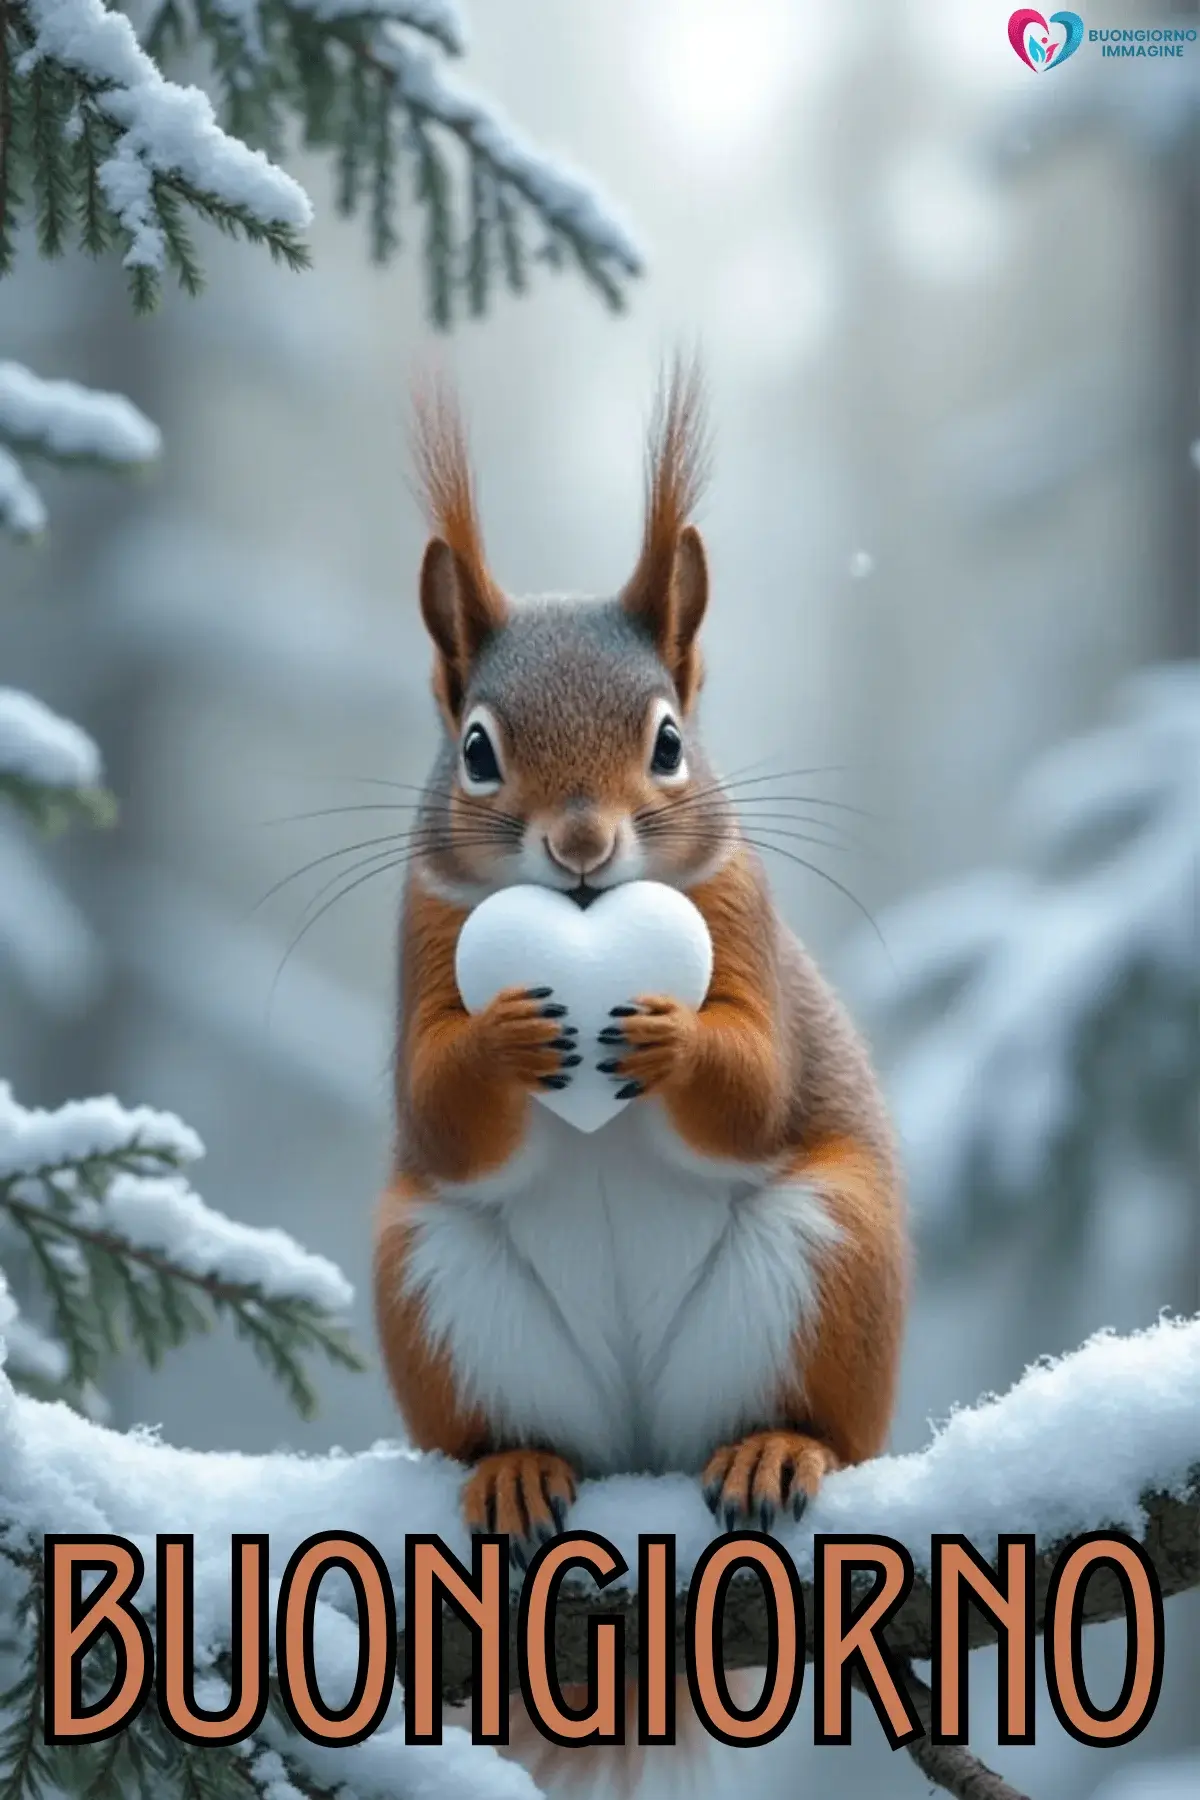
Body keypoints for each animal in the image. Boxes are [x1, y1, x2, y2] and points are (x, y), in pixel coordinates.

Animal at [373, 363, 909, 1784]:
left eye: (670, 742)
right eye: (478, 749)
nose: (579, 849)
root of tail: (639, 1444)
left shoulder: (746, 924)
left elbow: (758, 1088)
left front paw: (662, 1030)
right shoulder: (416, 944)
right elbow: (438, 1118)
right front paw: (509, 1037)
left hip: (834, 1260)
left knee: (823, 1423)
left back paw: (776, 1448)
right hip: (432, 1287)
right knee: (509, 1424)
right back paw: (515, 1470)